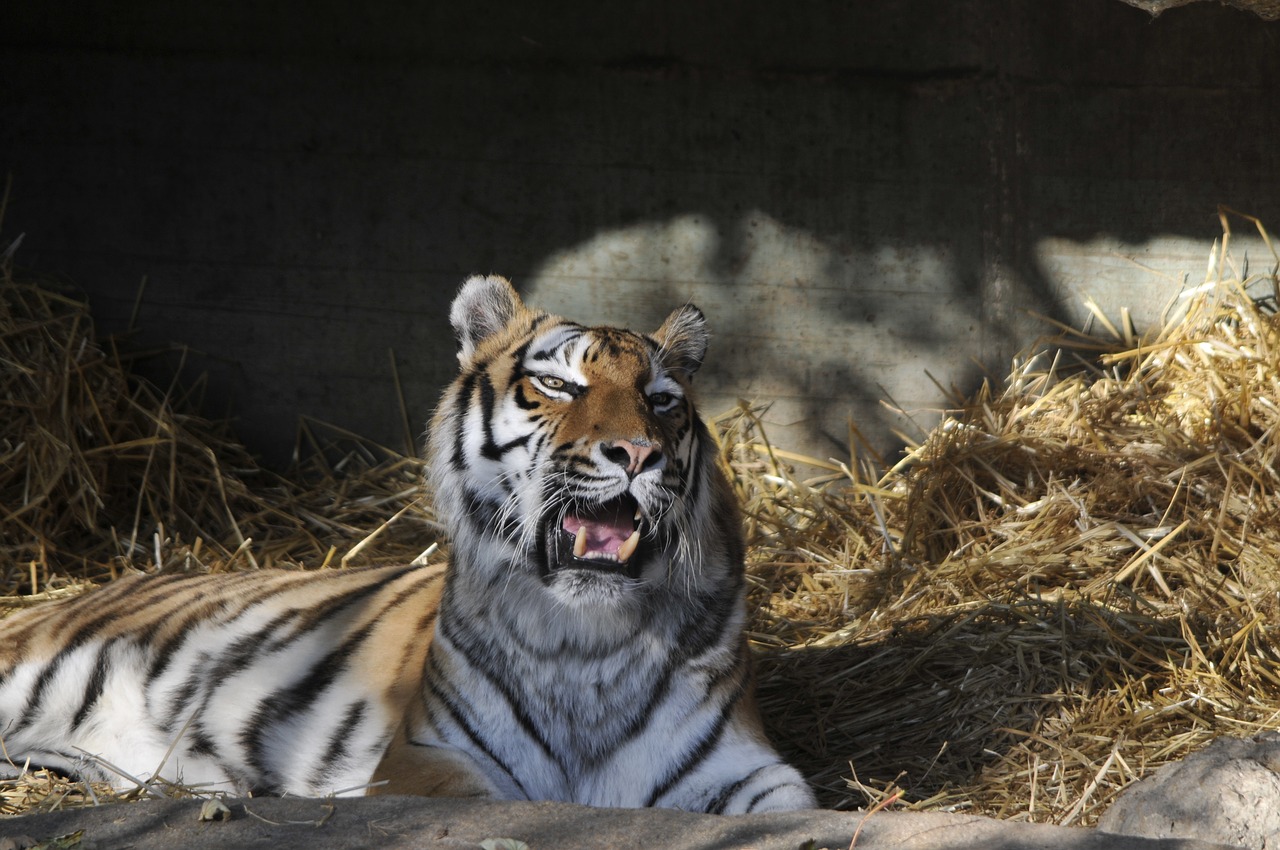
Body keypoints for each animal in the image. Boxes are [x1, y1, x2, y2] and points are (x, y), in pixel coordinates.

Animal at [0, 275, 814, 814]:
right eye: (557, 385)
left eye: (663, 400)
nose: (638, 453)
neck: (586, 636)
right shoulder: (428, 760)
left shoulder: (743, 767)